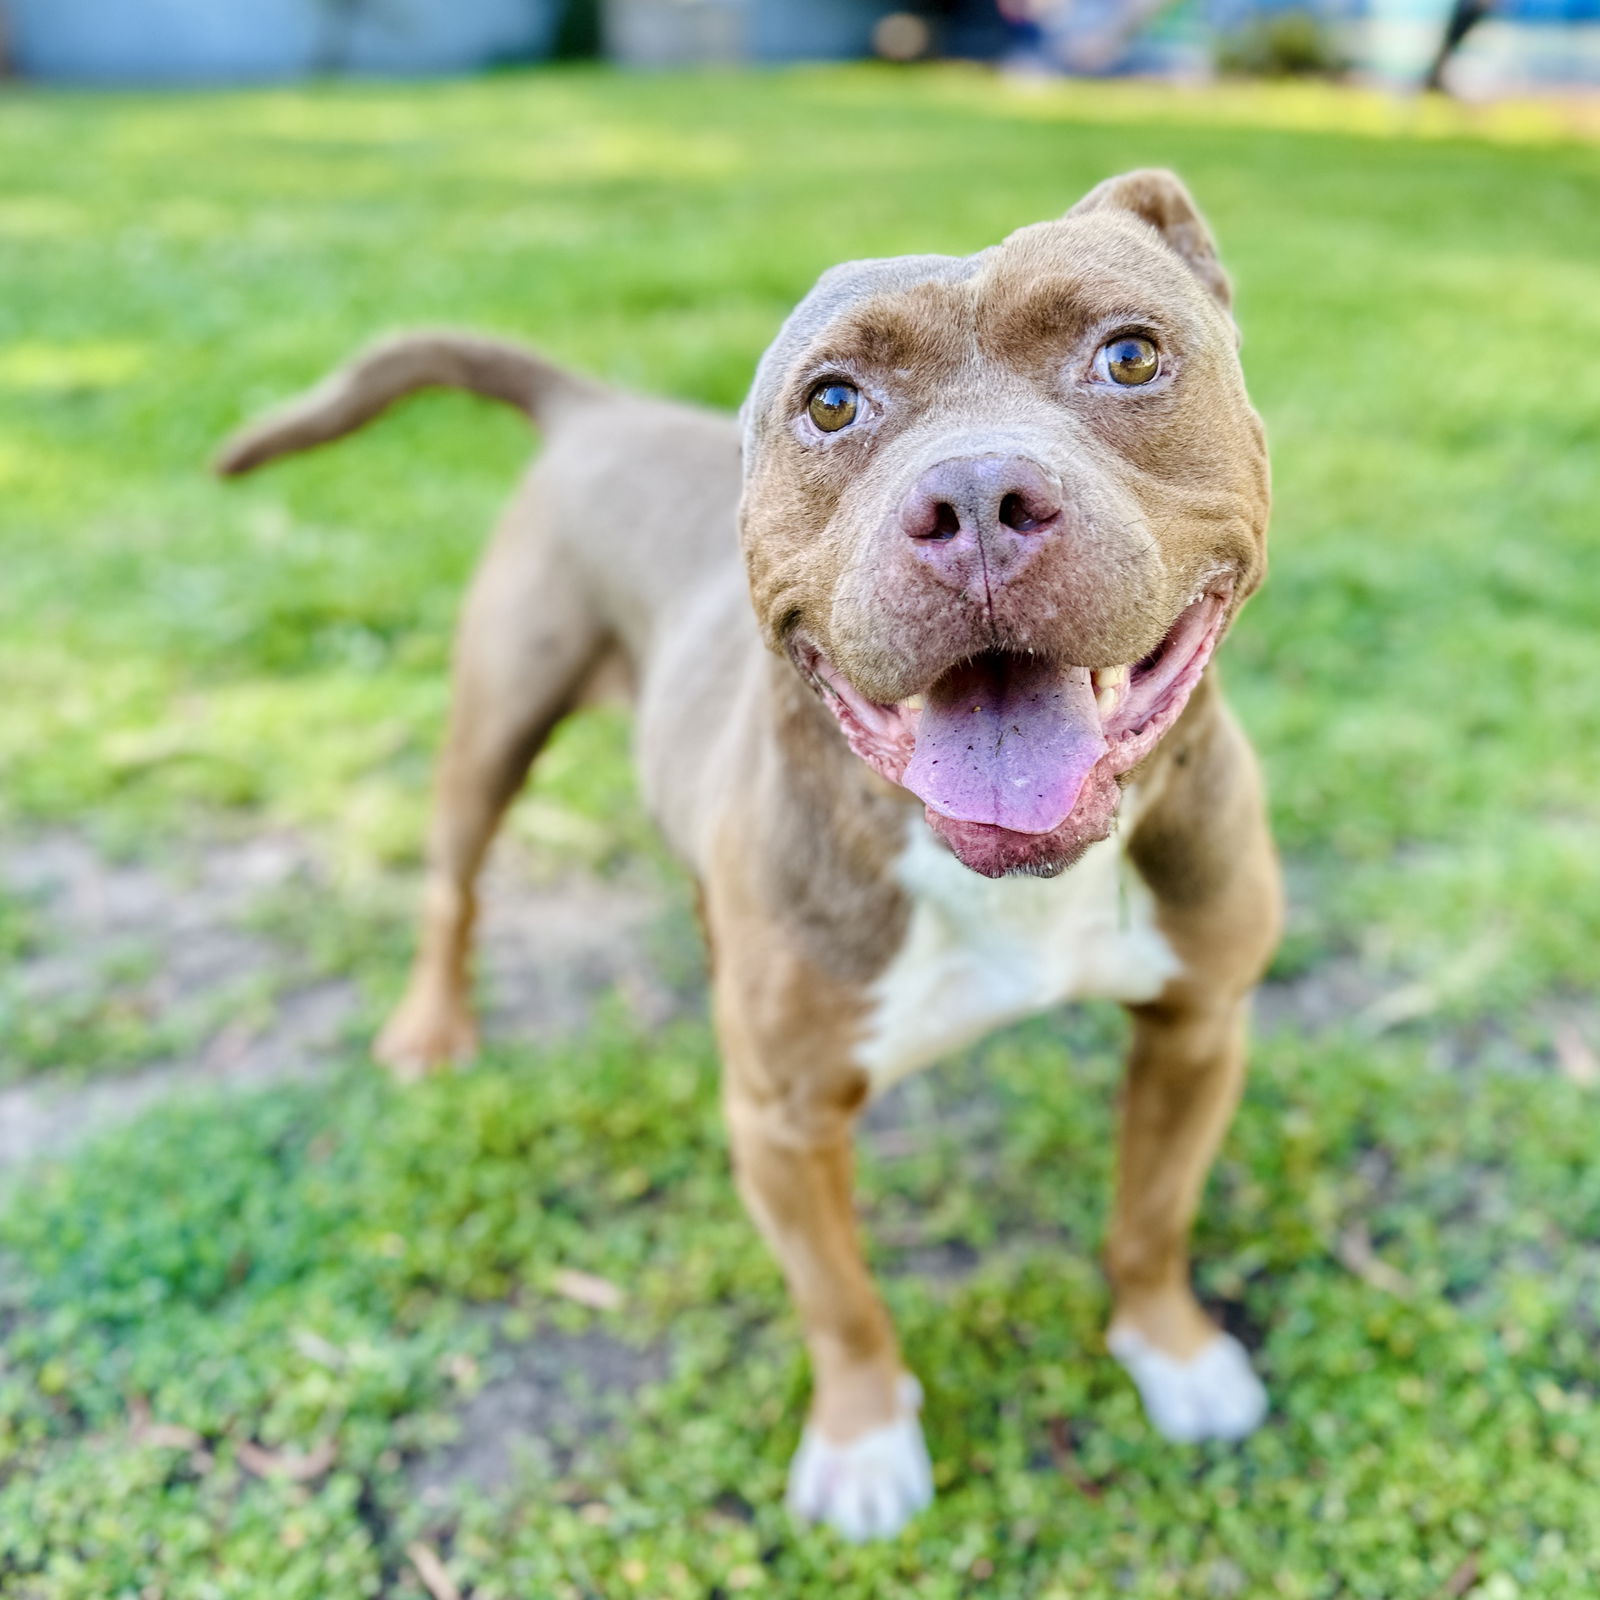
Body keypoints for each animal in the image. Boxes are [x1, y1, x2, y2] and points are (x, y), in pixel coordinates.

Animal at [219, 172, 1280, 1536]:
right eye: (831, 401)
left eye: (1131, 354)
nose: (977, 501)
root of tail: (599, 405)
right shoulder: (782, 1123)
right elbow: (840, 1299)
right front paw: (866, 1442)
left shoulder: (1197, 1025)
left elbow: (1151, 1213)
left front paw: (1175, 1354)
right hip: (493, 722)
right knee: (453, 882)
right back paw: (429, 1028)